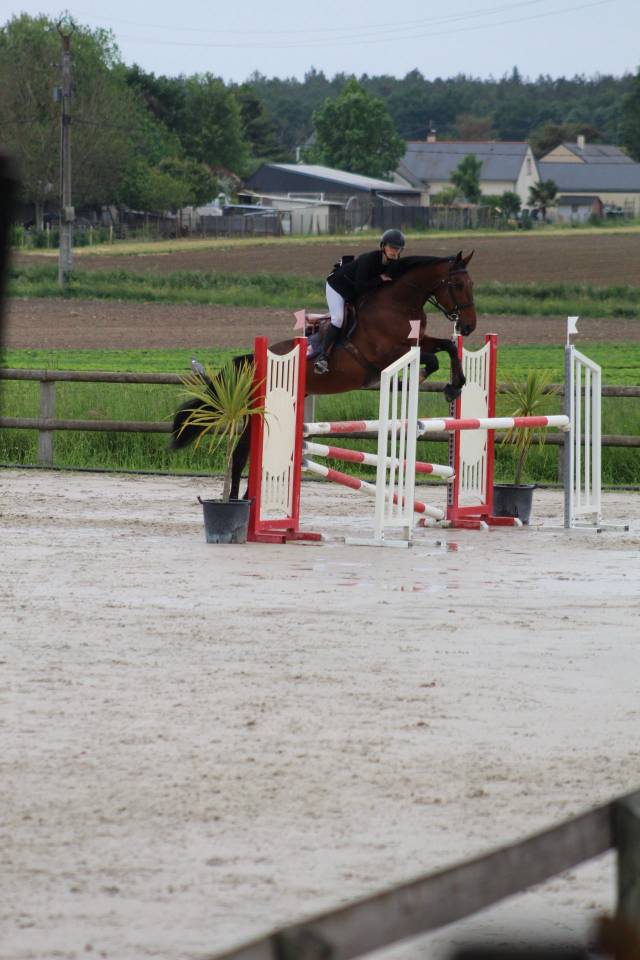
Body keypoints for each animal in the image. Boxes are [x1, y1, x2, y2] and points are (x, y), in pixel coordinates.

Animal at [171, 251, 477, 499]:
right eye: (458, 285)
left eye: (471, 285)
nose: (469, 326)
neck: (398, 302)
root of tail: (255, 359)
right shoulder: (387, 354)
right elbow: (431, 358)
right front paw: (426, 382)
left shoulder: (420, 341)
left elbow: (448, 347)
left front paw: (454, 386)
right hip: (258, 409)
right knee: (240, 454)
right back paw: (237, 502)